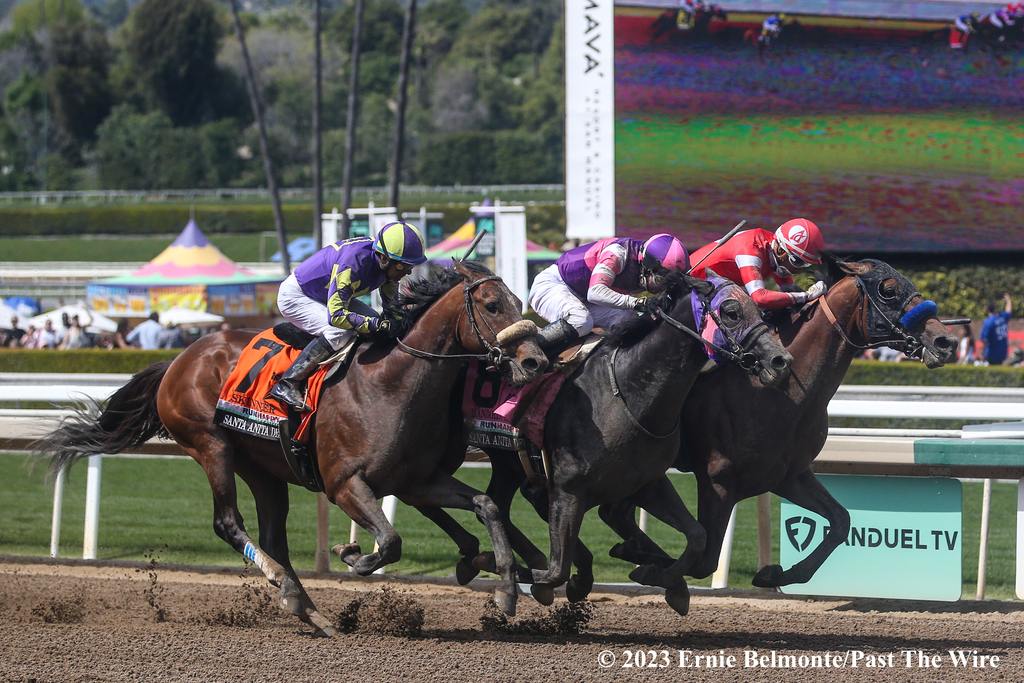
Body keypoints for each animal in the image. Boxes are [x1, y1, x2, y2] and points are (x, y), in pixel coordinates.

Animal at [37, 262, 552, 634]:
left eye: (517, 300)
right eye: (491, 304)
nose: (535, 360)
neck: (391, 384)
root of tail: (180, 358)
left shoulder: (416, 481)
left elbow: (486, 506)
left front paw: (508, 588)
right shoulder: (345, 485)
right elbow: (390, 541)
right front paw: (352, 554)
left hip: (263, 468)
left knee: (272, 535)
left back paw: (307, 607)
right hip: (210, 445)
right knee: (228, 522)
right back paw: (288, 590)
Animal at [598, 255, 958, 593]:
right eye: (888, 289)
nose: (946, 341)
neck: (785, 392)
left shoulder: (788, 475)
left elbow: (841, 521)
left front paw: (776, 573)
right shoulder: (719, 480)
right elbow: (706, 557)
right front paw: (653, 570)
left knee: (613, 512)